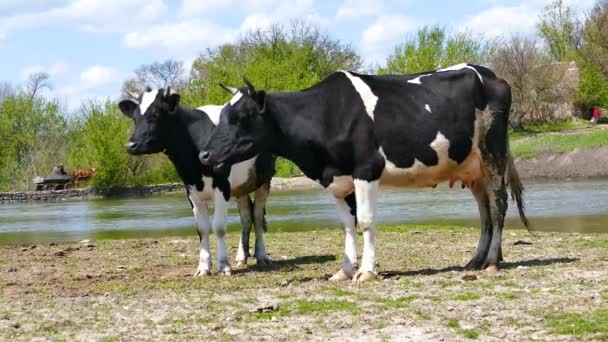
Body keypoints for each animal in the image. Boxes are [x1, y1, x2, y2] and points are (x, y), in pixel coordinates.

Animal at [117, 87, 274, 276]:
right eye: (134, 118)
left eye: (155, 115)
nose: (131, 145)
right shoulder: (191, 190)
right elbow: (202, 228)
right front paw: (203, 268)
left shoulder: (222, 186)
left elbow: (219, 227)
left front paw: (223, 266)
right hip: (240, 186)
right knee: (246, 217)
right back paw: (241, 257)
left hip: (264, 180)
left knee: (257, 216)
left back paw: (262, 256)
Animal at [198, 64, 528, 284]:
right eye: (222, 115)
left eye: (241, 116)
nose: (204, 154)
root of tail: (490, 73)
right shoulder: (337, 178)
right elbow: (347, 225)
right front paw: (344, 270)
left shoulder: (366, 170)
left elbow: (366, 221)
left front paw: (367, 270)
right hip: (472, 167)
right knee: (484, 209)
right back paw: (476, 260)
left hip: (493, 151)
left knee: (498, 204)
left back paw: (492, 262)